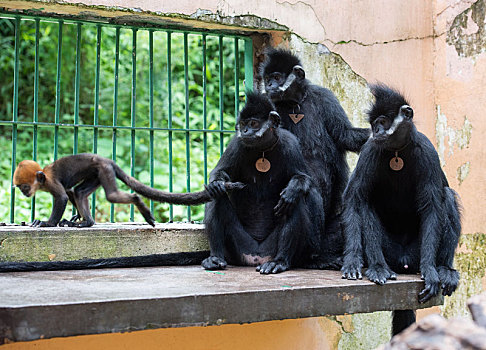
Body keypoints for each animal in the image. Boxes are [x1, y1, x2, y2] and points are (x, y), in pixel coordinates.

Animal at [13, 154, 245, 228]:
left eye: (25, 187)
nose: (24, 194)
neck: (43, 176)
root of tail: (107, 160)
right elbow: (70, 192)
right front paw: (74, 218)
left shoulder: (51, 183)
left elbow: (62, 196)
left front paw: (47, 223)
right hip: (98, 173)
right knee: (79, 192)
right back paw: (88, 222)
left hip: (103, 170)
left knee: (112, 196)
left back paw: (138, 202)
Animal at [200, 91, 322, 274]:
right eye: (243, 124)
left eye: (253, 123)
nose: (245, 131)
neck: (263, 150)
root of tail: (256, 257)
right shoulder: (237, 143)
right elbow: (218, 174)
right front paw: (216, 184)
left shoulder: (290, 143)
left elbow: (304, 179)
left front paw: (292, 189)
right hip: (239, 247)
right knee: (217, 195)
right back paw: (215, 258)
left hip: (269, 249)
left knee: (296, 201)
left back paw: (279, 261)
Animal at [262, 49, 368, 266]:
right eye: (267, 79)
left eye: (276, 78)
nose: (269, 86)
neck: (294, 104)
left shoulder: (324, 97)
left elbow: (345, 135)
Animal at [340, 84, 462, 304]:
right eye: (374, 125)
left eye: (382, 122)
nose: (376, 131)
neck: (397, 151)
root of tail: (403, 259)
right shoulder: (370, 149)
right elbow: (354, 199)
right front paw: (352, 260)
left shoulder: (428, 151)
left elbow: (432, 207)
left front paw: (430, 270)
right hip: (391, 251)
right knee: (366, 203)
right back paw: (379, 268)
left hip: (416, 252)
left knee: (447, 196)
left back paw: (444, 269)